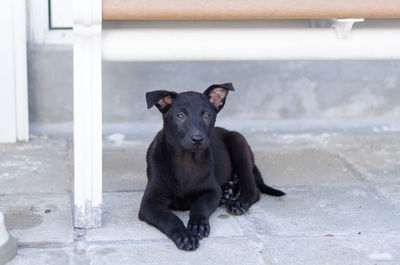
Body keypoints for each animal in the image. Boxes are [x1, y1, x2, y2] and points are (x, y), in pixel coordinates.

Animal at [138, 82, 284, 250]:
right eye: (180, 116)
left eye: (207, 115)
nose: (197, 139)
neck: (186, 159)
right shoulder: (149, 203)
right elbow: (168, 217)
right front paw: (184, 235)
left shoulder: (211, 191)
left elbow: (199, 205)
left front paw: (197, 224)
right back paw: (227, 192)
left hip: (238, 142)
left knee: (253, 188)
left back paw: (238, 201)